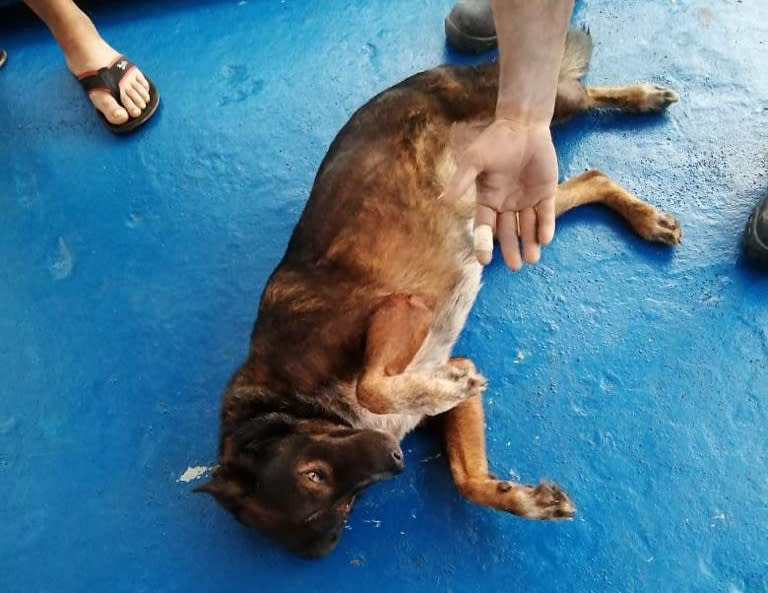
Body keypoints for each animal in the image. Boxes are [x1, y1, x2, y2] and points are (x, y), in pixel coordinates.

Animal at [195, 27, 680, 556]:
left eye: (314, 474)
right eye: (340, 507)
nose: (395, 457)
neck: (290, 403)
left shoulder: (403, 306)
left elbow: (372, 386)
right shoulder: (450, 375)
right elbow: (466, 478)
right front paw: (520, 497)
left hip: (538, 111)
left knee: (575, 90)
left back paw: (641, 98)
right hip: (506, 208)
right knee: (593, 176)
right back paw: (644, 215)